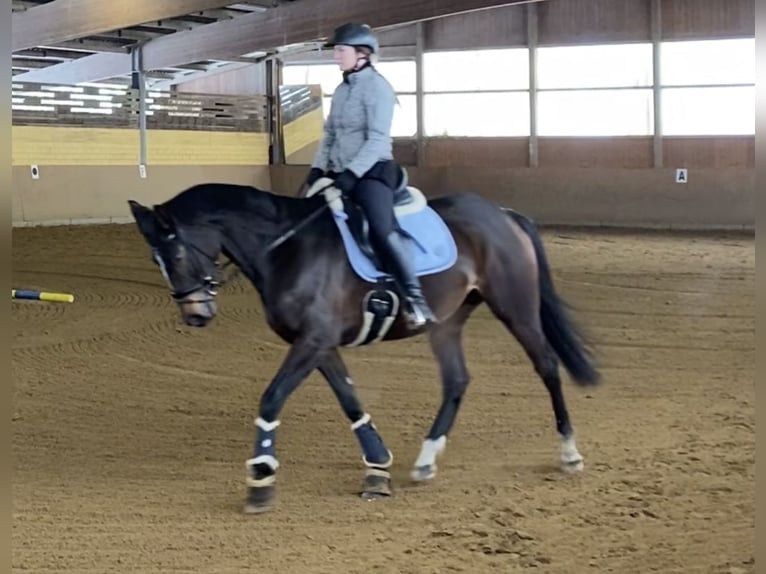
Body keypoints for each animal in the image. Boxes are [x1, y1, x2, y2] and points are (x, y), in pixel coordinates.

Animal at [129, 176, 604, 516]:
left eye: (174, 255)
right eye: (155, 260)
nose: (195, 315)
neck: (285, 248)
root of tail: (502, 213)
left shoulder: (313, 340)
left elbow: (271, 398)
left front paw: (261, 479)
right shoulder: (319, 343)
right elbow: (349, 399)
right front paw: (378, 467)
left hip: (515, 306)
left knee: (547, 365)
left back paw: (569, 453)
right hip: (448, 321)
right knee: (456, 380)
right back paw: (426, 459)